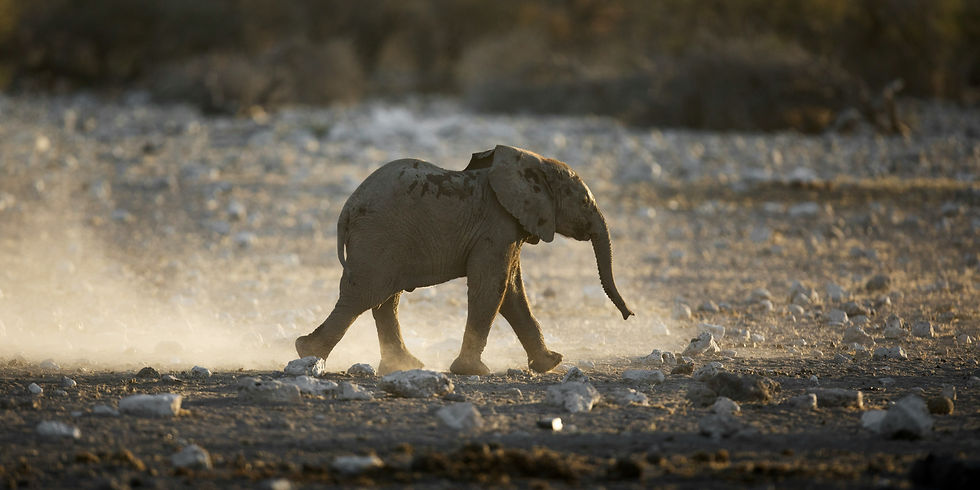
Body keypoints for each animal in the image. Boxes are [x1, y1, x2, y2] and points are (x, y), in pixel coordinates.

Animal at [295, 144, 633, 375]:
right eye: (585, 201)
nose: (629, 315)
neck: (531, 162)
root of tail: (347, 209)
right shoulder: (497, 226)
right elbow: (492, 287)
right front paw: (473, 372)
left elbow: (511, 291)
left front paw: (550, 363)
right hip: (378, 236)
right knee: (363, 295)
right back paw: (307, 353)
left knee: (384, 299)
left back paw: (404, 365)